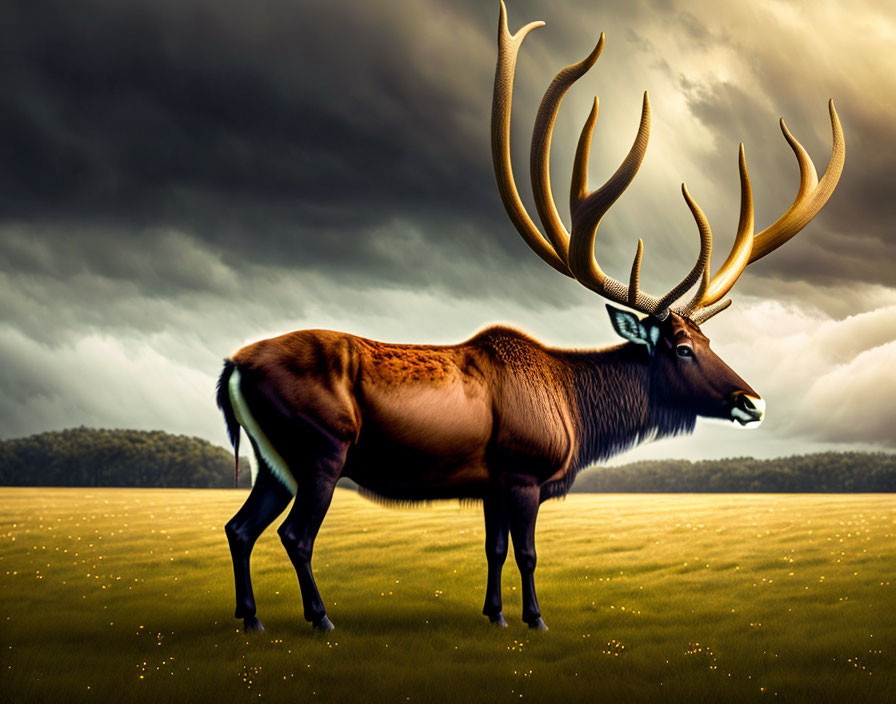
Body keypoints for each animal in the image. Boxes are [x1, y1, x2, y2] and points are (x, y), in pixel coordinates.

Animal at [215, 1, 840, 632]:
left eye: (711, 341)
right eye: (682, 347)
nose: (752, 402)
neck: (576, 413)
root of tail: (232, 366)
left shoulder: (492, 486)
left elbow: (493, 550)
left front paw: (494, 614)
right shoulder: (521, 475)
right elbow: (528, 553)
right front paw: (535, 618)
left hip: (273, 463)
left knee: (239, 527)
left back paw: (251, 618)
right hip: (321, 450)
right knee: (294, 535)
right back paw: (319, 619)